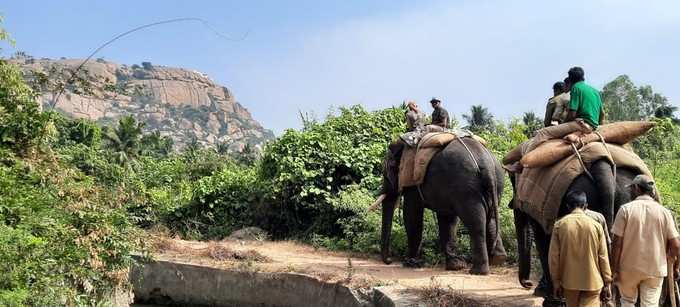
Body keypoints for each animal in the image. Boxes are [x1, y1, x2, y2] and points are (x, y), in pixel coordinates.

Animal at [374, 138, 508, 276]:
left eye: (389, 169)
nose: (389, 260)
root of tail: (487, 165)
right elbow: (447, 219)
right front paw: (456, 266)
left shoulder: (412, 180)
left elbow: (411, 214)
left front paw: (409, 263)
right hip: (496, 182)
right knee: (491, 219)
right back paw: (498, 259)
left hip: (467, 187)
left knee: (476, 223)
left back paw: (477, 271)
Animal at [510, 162, 644, 306]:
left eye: (513, 180)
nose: (528, 283)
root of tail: (603, 166)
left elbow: (544, 240)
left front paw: (551, 301)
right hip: (625, 197)